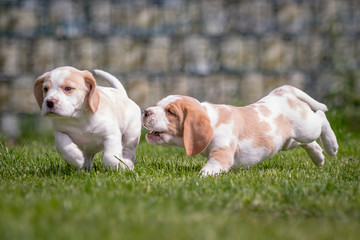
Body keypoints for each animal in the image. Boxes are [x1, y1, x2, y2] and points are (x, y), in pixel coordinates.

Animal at [142, 85, 338, 175]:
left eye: (170, 112)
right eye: (158, 105)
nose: (145, 112)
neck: (212, 120)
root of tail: (282, 92)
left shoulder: (220, 156)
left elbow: (207, 171)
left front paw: (200, 178)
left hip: (306, 127)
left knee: (321, 116)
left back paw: (331, 146)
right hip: (287, 141)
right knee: (308, 143)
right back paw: (319, 157)